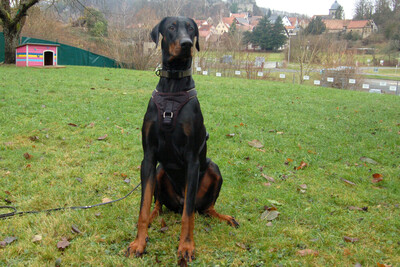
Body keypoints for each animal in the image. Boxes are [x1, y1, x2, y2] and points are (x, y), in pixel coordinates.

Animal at [126, 16, 238, 264]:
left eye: (191, 29)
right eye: (171, 27)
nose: (187, 44)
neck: (172, 87)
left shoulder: (192, 160)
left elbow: (188, 216)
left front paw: (186, 247)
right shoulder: (149, 157)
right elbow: (142, 206)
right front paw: (139, 243)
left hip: (213, 169)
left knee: (202, 209)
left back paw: (224, 217)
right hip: (160, 171)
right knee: (159, 205)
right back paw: (154, 217)